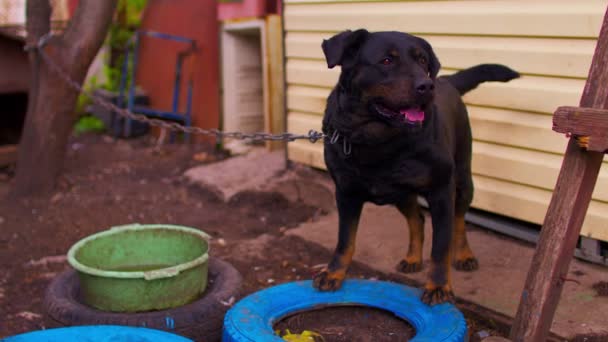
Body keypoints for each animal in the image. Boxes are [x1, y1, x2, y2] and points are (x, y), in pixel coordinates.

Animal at [314, 29, 516, 304]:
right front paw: (334, 272)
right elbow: (345, 240)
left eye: (422, 61)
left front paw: (438, 286)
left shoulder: (441, 190)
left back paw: (464, 255)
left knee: (459, 219)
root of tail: (447, 81)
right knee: (417, 218)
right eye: (387, 60)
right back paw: (412, 258)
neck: (378, 140)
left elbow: (441, 246)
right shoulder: (346, 192)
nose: (426, 85)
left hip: (463, 179)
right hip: (400, 192)